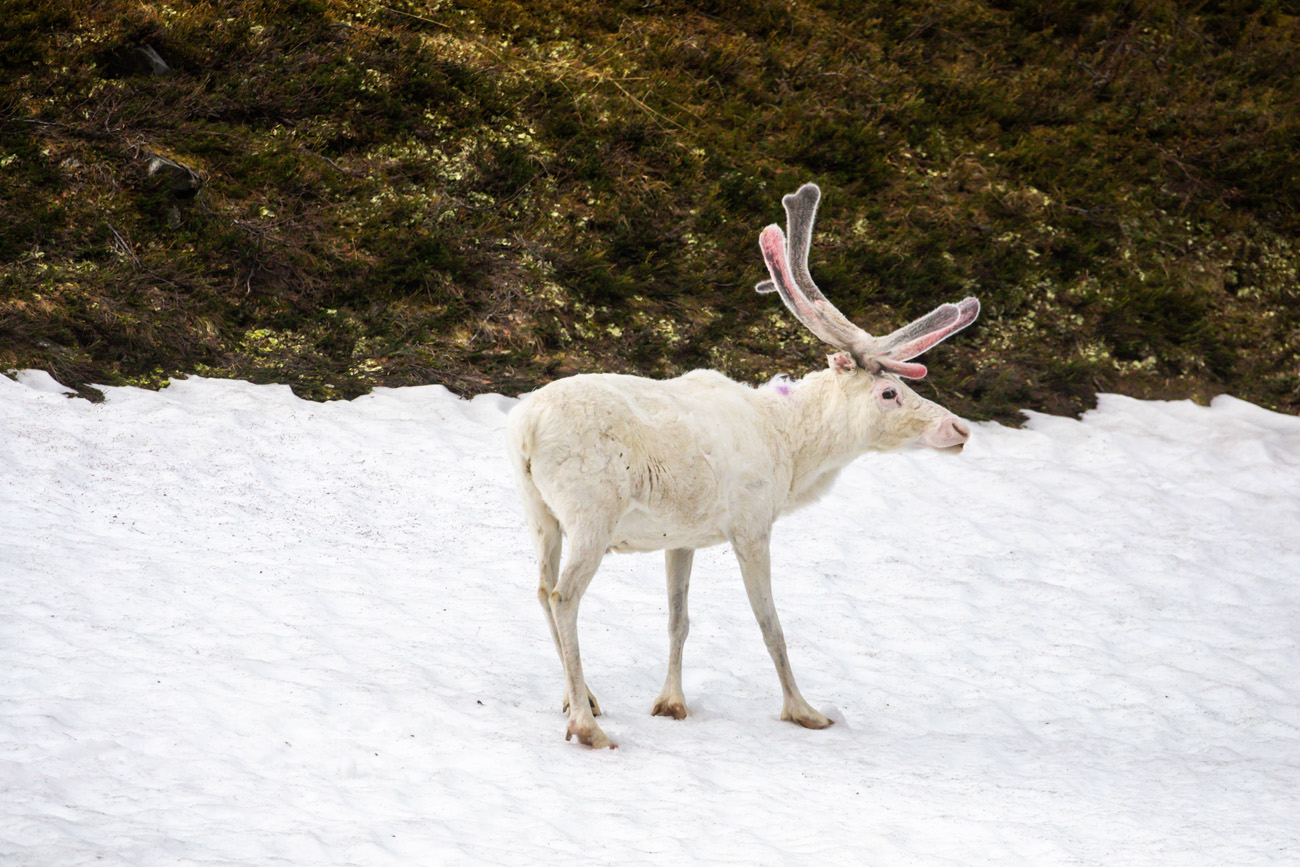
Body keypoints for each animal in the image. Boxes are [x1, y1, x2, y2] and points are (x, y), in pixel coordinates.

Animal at [506, 182, 979, 748]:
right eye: (890, 392)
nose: (959, 429)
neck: (792, 453)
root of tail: (526, 428)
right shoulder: (752, 523)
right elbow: (770, 623)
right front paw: (805, 710)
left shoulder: (682, 536)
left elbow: (678, 618)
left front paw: (672, 703)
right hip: (591, 513)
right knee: (564, 595)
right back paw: (585, 723)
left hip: (540, 513)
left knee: (539, 588)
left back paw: (585, 700)